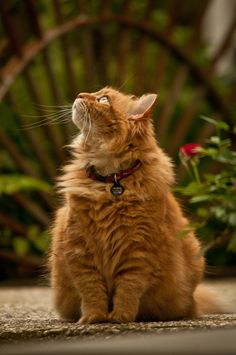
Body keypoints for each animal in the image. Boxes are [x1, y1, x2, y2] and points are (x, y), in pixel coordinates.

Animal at [50, 87, 224, 324]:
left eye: (103, 99)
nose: (79, 95)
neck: (111, 180)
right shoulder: (79, 249)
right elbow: (91, 291)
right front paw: (94, 318)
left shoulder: (138, 251)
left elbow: (128, 290)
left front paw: (119, 318)